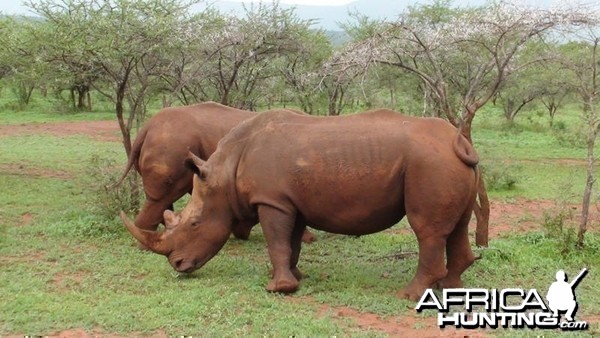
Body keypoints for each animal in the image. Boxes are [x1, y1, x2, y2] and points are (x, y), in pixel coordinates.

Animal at [115, 101, 316, 244]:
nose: (241, 234)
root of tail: (146, 128)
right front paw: (308, 239)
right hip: (172, 143)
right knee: (162, 198)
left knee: (163, 199)